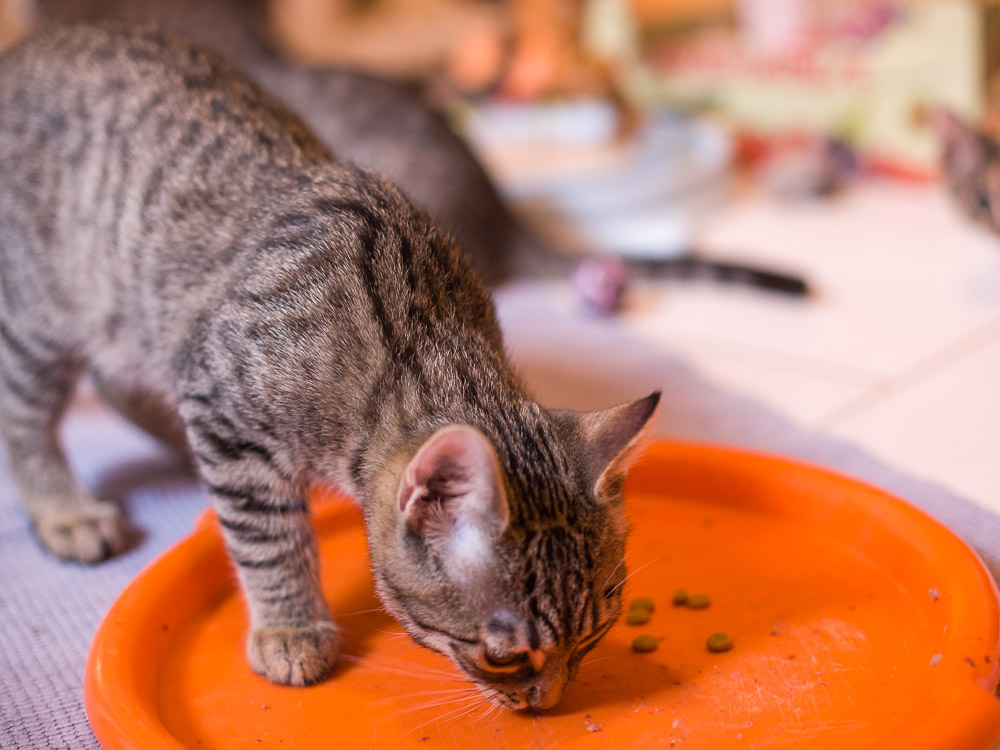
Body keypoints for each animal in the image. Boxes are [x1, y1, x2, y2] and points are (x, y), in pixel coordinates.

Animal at [0, 25, 660, 712]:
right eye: (502, 656)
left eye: (597, 630)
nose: (548, 700)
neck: (421, 342)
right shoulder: (223, 406)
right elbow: (268, 538)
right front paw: (290, 626)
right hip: (41, 313)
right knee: (24, 415)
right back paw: (65, 511)